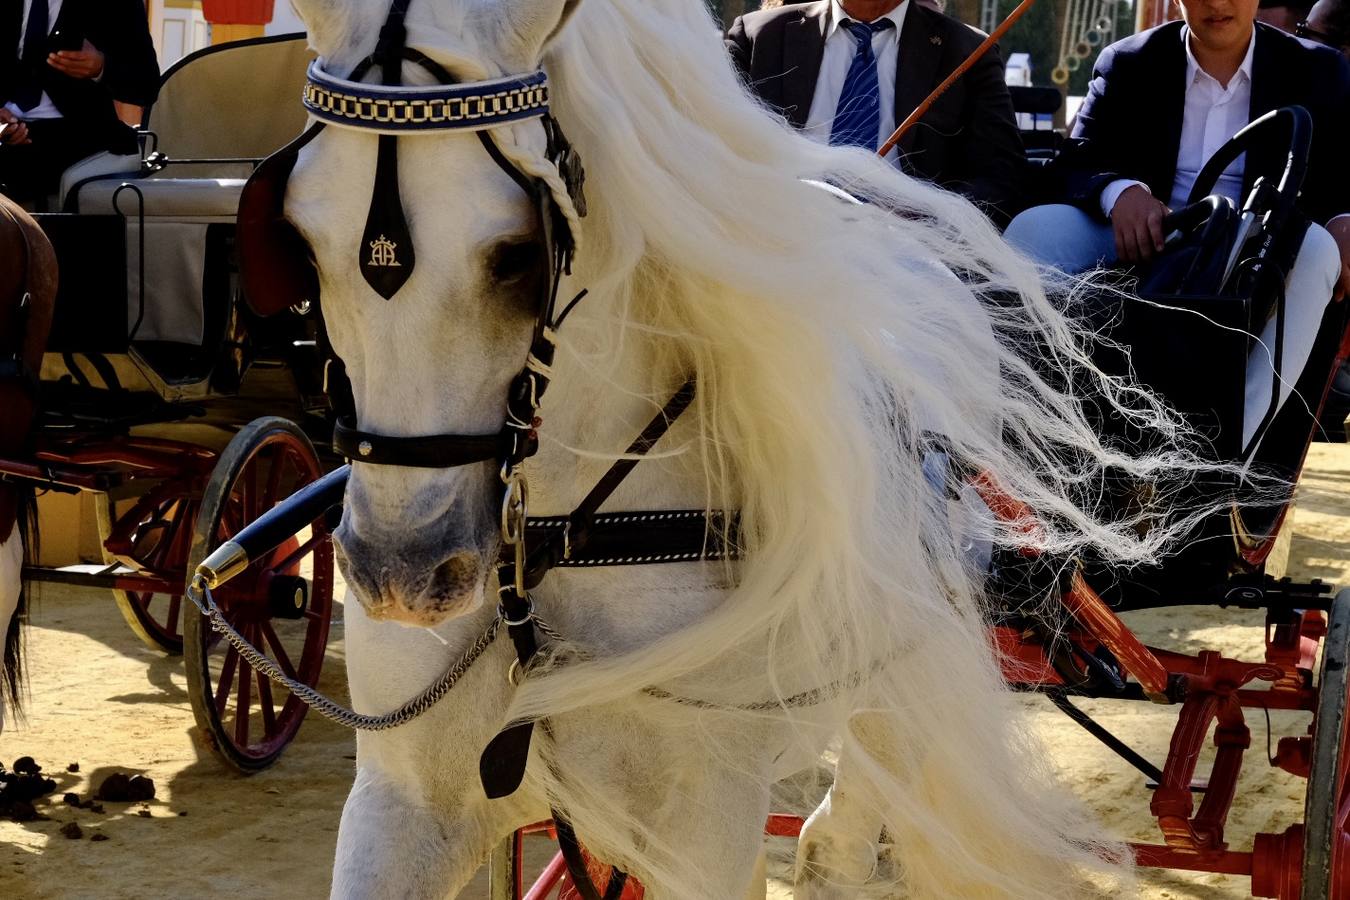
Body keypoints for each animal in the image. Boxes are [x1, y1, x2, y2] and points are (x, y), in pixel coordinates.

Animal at [284, 0, 1204, 895]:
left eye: (516, 254)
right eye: (298, 239)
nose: (401, 572)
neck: (553, 550)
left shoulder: (704, 828)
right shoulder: (404, 806)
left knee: (869, 770)